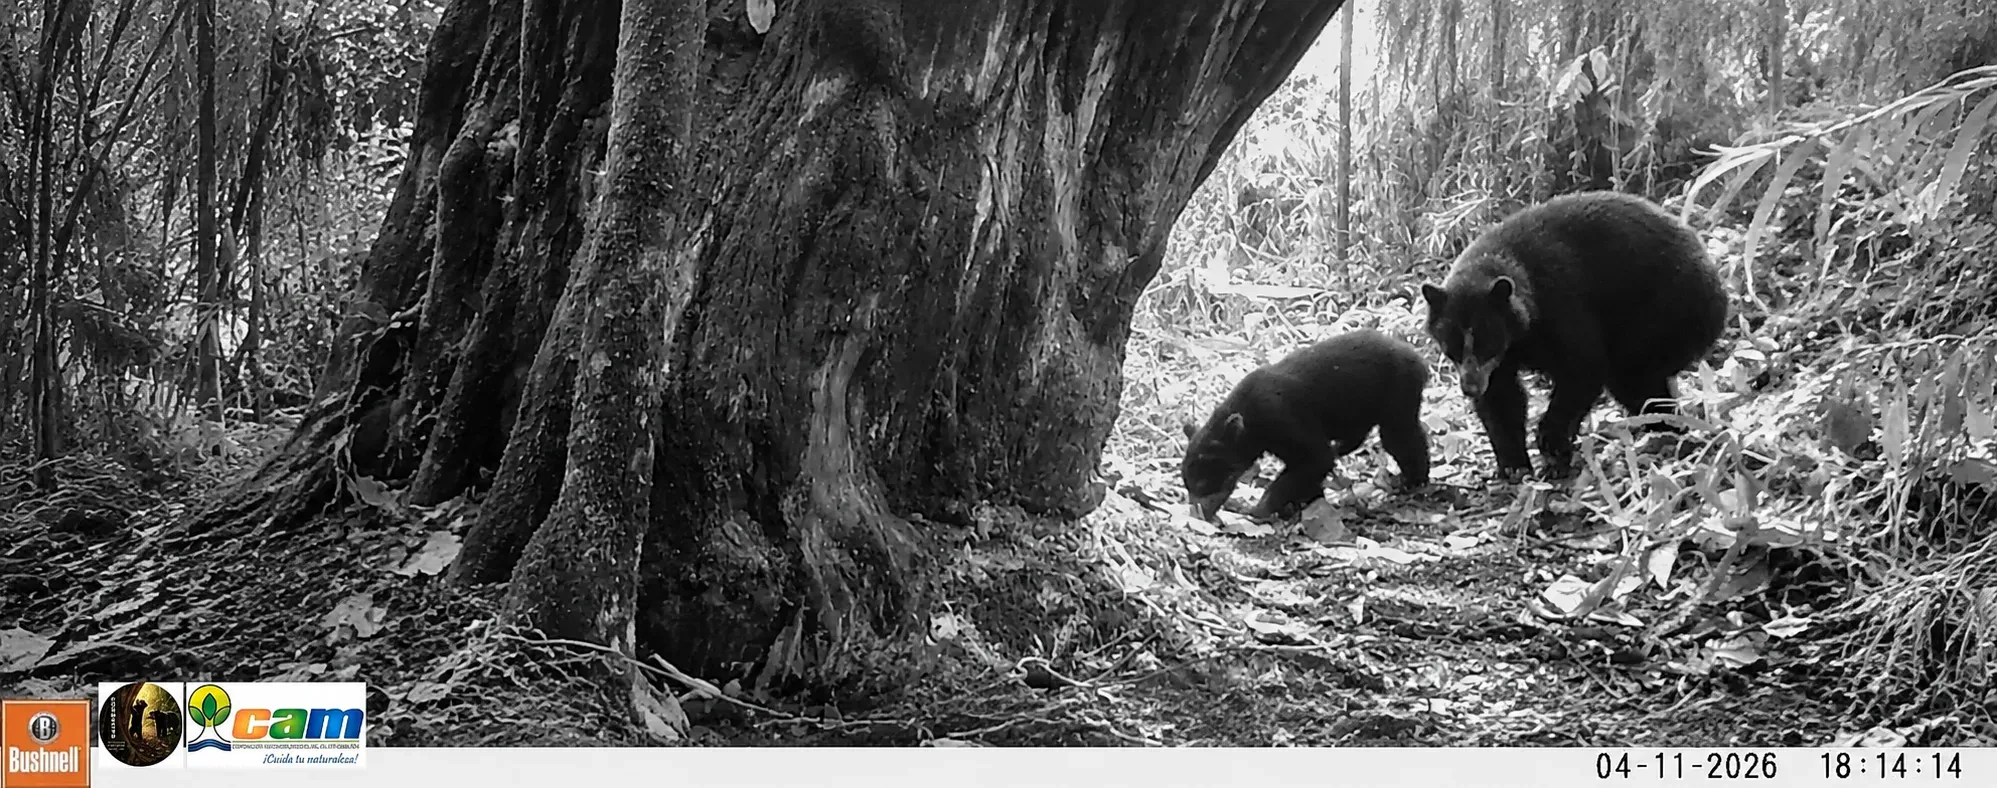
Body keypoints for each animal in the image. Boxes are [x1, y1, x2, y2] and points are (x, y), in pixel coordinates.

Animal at [1180, 328, 1431, 522]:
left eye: (1205, 482)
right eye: (1186, 483)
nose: (1198, 515)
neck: (1251, 418)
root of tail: (1420, 360)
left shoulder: (1285, 420)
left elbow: (1315, 460)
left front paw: (1258, 510)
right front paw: (1305, 501)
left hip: (1398, 393)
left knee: (1400, 437)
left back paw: (1413, 481)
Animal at [1419, 190, 1728, 481]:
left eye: (1487, 343)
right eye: (1450, 347)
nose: (1470, 387)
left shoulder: (1561, 305)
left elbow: (1582, 367)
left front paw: (1551, 442)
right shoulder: (1501, 360)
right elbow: (1501, 398)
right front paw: (1514, 464)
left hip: (1663, 311)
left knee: (1632, 378)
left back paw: (1670, 429)